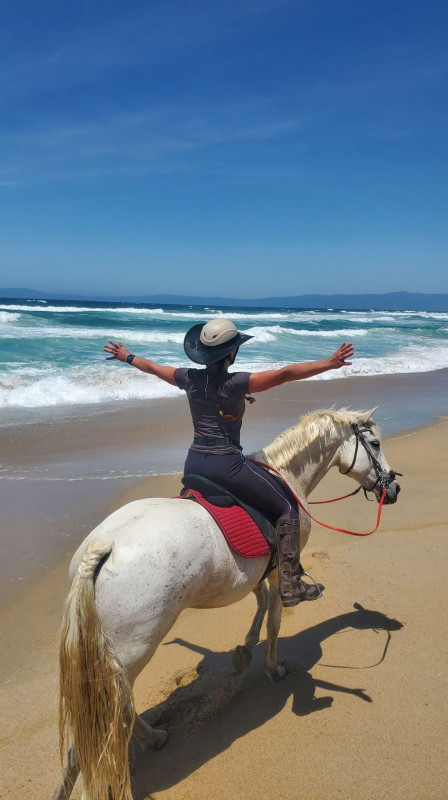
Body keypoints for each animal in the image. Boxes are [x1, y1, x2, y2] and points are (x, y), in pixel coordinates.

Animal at [53, 408, 400, 800]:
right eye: (374, 444)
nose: (393, 488)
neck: (288, 475)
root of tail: (103, 547)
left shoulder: (257, 571)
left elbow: (261, 604)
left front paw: (245, 650)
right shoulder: (280, 570)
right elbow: (276, 617)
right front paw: (272, 668)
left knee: (115, 712)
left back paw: (148, 740)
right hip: (132, 651)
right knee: (110, 714)